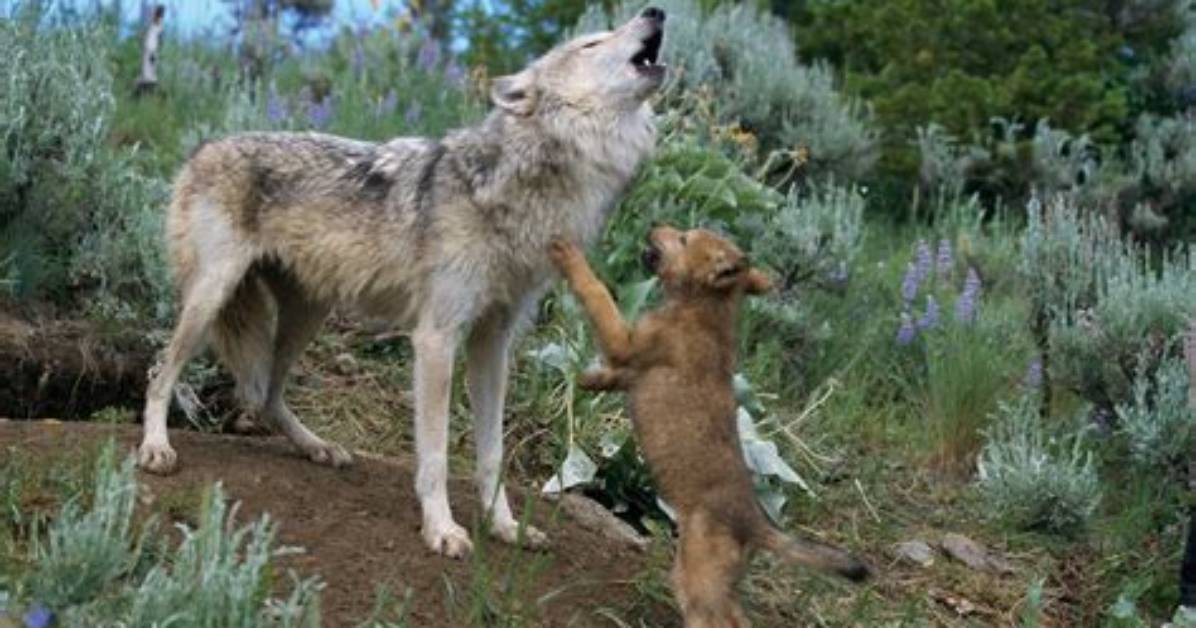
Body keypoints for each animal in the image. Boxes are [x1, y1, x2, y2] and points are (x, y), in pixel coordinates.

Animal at [137, 7, 668, 558]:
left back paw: (318, 447)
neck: (518, 185)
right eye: (591, 43)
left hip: (308, 315)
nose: (655, 11)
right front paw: (442, 529)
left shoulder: (493, 342)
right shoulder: (436, 337)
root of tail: (203, 147)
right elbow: (435, 453)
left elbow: (492, 453)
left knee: (266, 395)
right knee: (160, 372)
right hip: (210, 299)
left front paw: (503, 526)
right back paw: (155, 448)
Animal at [549, 228, 869, 627]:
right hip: (719, 583)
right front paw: (584, 379)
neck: (702, 308)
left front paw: (568, 254)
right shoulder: (630, 368)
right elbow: (609, 375)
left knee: (719, 620)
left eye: (685, 238)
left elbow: (596, 291)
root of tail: (756, 524)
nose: (654, 226)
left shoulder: (626, 341)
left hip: (697, 579)